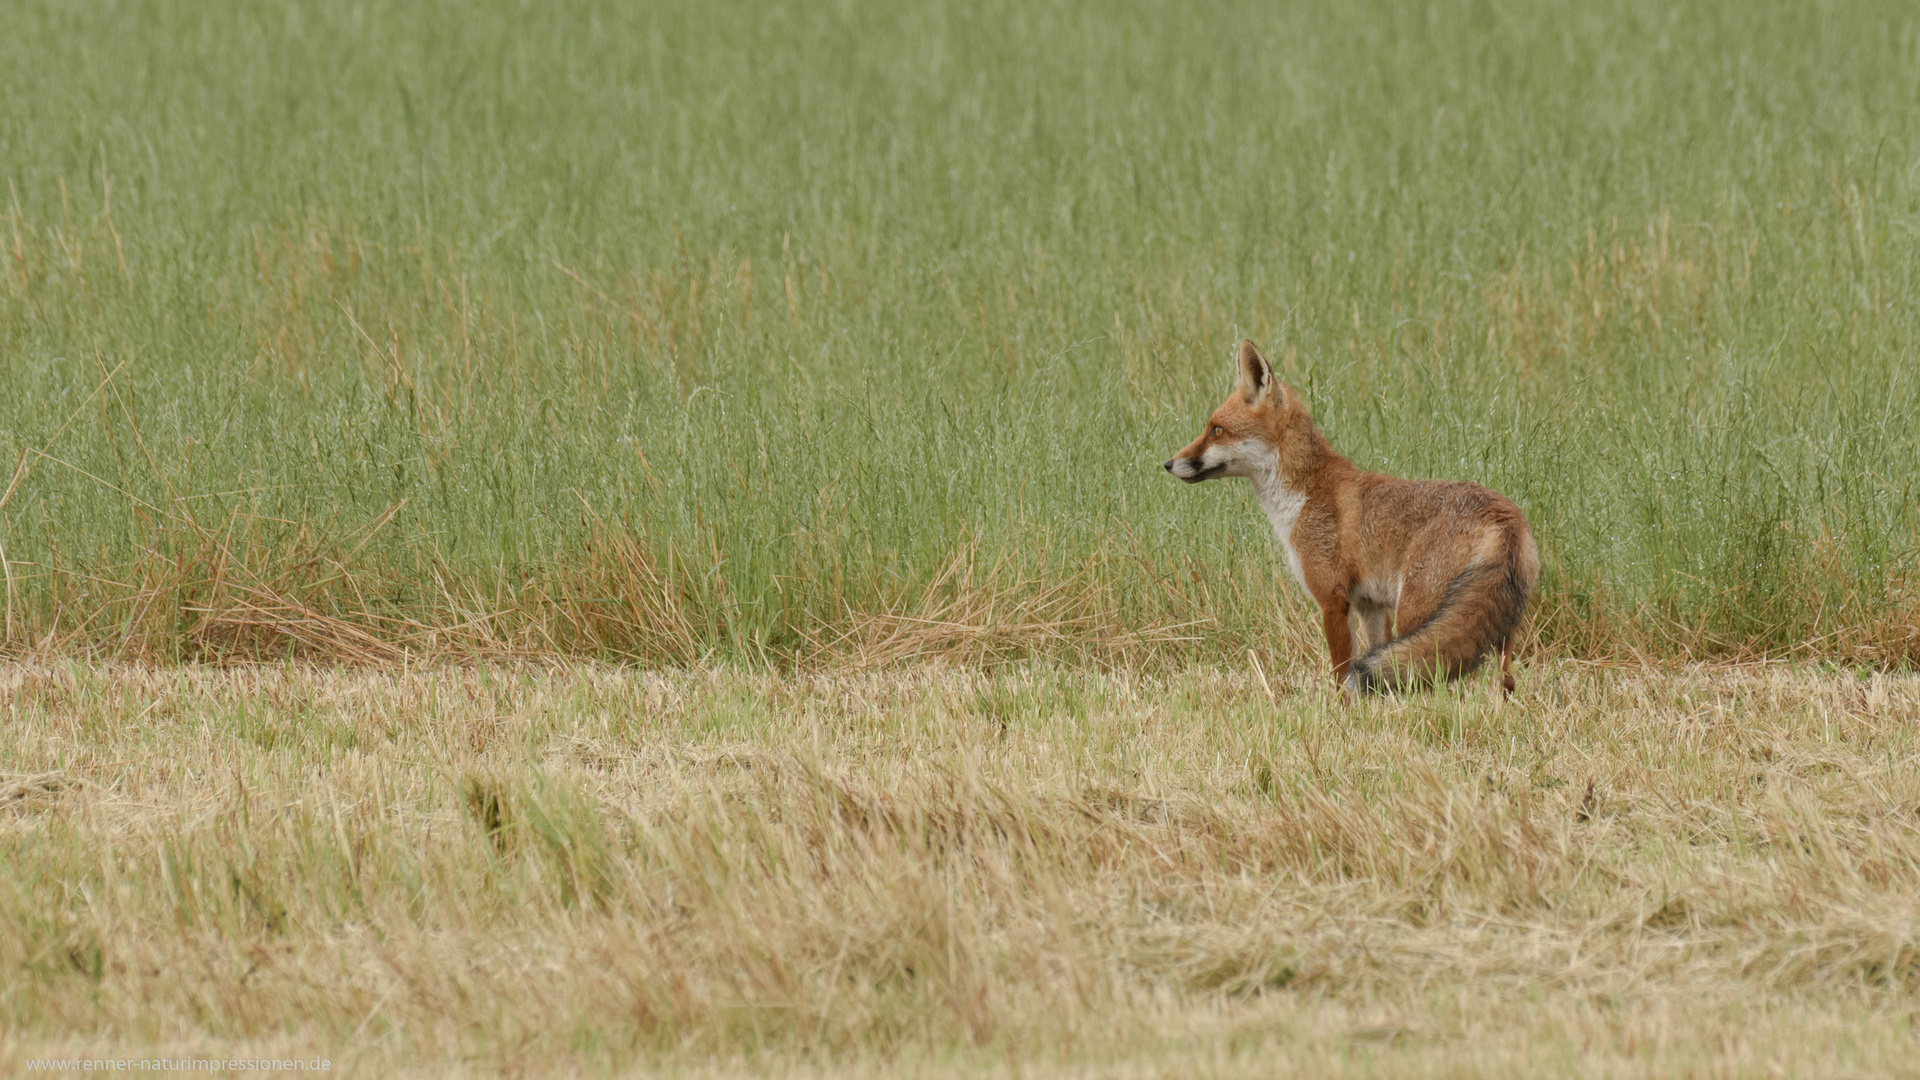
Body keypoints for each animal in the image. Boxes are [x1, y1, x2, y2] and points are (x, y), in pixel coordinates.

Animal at [1152, 338, 1543, 699]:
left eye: (1216, 430)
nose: (1168, 463)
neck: (1302, 496)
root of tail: (1503, 513)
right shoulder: (1370, 606)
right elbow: (1373, 656)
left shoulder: (1332, 598)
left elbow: (1342, 673)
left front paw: (1341, 713)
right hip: (1496, 623)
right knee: (1504, 680)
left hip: (1417, 611)